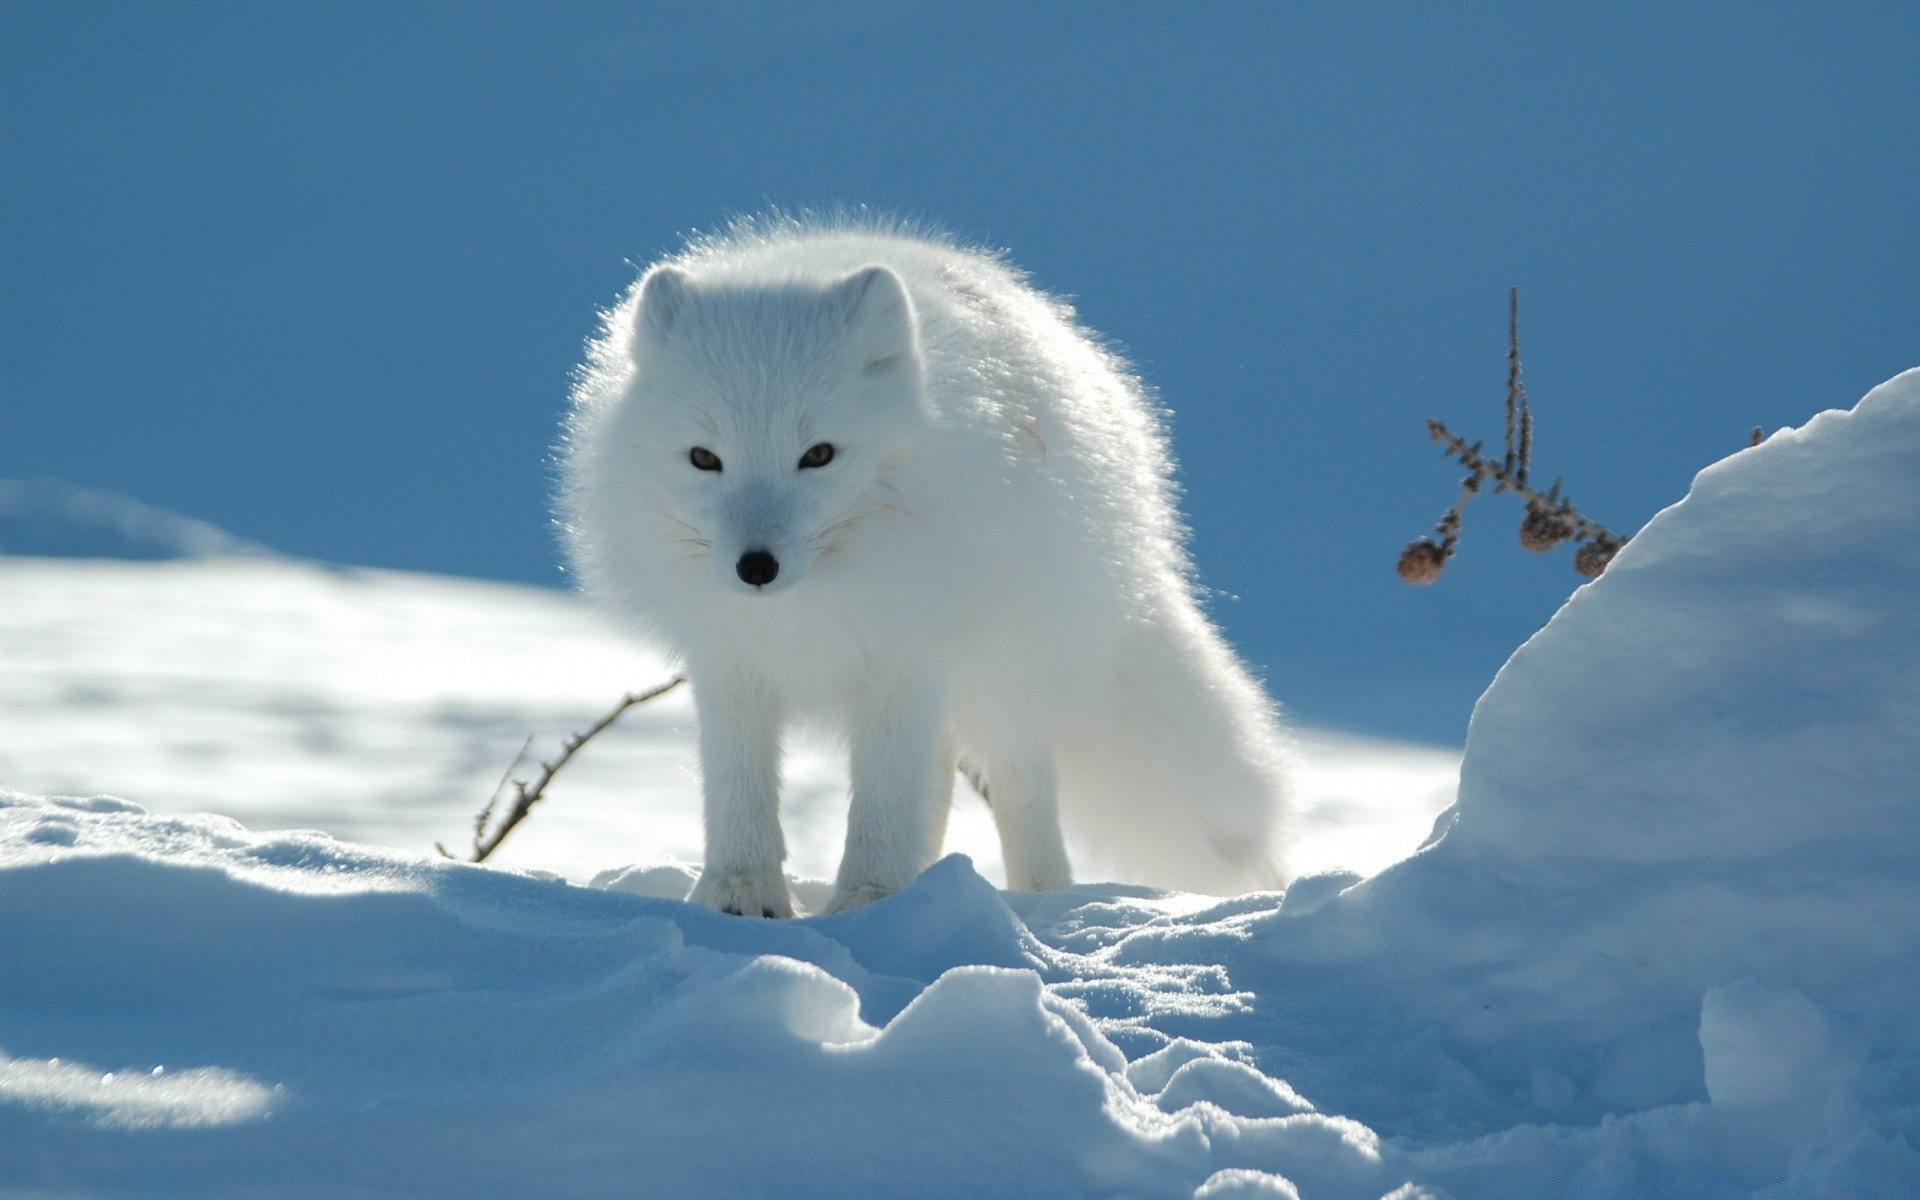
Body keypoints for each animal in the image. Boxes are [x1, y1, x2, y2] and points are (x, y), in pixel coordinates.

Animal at [560, 215, 1297, 913]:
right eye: (703, 458)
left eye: (819, 455)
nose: (756, 568)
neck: (810, 606)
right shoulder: (730, 660)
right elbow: (739, 787)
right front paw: (741, 894)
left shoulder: (906, 654)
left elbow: (886, 798)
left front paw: (869, 899)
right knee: (939, 781)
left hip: (1009, 670)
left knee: (1020, 782)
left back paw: (1040, 899)